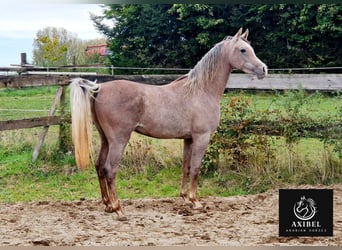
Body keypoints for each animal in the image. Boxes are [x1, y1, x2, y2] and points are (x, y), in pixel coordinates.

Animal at [69, 27, 268, 221]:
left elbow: (186, 167)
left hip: (105, 139)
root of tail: (100, 88)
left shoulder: (188, 139)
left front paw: (185, 198)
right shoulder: (202, 137)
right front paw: (195, 201)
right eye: (243, 50)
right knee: (110, 169)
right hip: (119, 140)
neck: (201, 90)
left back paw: (108, 205)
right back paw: (119, 210)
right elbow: (196, 168)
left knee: (99, 166)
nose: (263, 69)